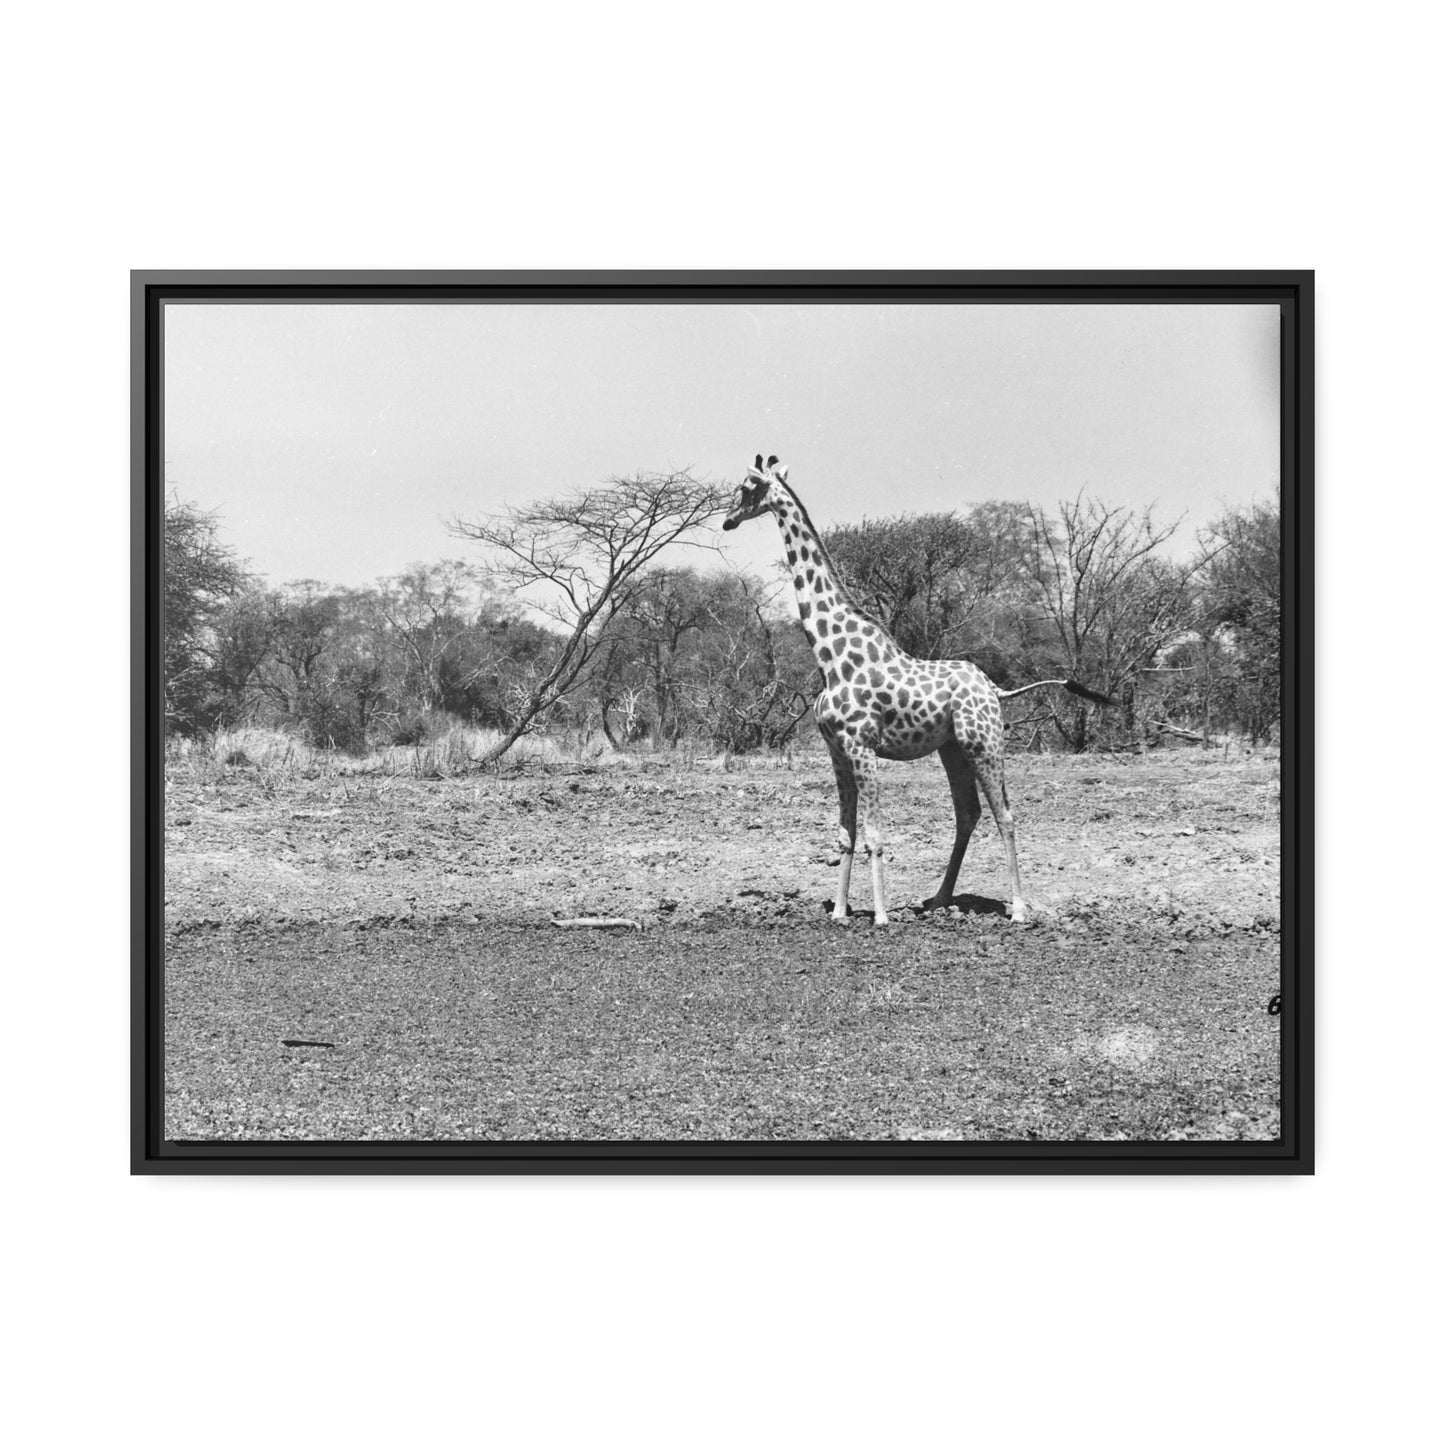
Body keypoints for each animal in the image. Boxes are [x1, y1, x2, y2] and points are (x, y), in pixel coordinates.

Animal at [722, 455, 1111, 927]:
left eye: (746, 488)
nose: (727, 521)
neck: (830, 657)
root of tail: (995, 689)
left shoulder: (862, 747)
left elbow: (873, 834)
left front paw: (880, 916)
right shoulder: (836, 751)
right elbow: (845, 834)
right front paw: (839, 911)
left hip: (984, 742)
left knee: (1005, 814)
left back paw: (1018, 909)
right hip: (953, 748)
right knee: (968, 813)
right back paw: (939, 899)